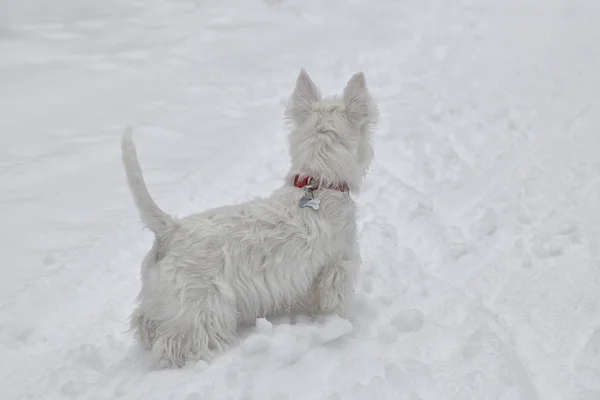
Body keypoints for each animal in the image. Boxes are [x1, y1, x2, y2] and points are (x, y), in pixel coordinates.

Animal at [120, 69, 378, 368]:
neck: (320, 184)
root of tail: (170, 230)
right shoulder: (337, 266)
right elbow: (336, 301)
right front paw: (340, 325)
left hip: (160, 295)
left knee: (144, 320)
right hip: (201, 300)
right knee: (180, 340)